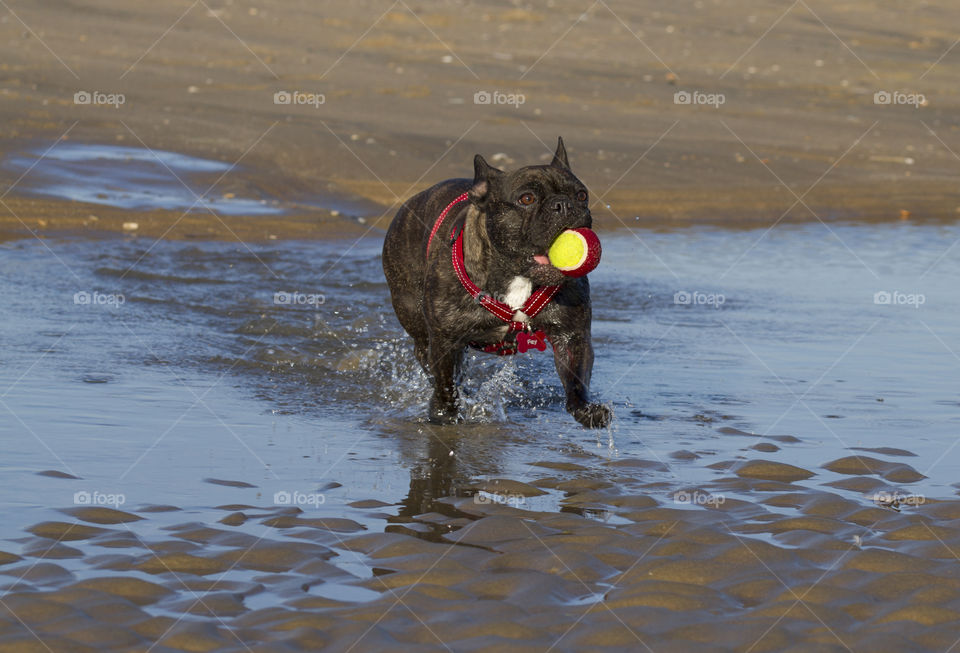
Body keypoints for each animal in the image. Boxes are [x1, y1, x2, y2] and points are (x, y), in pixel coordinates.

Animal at [380, 138, 608, 428]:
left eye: (581, 195)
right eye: (526, 199)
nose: (563, 205)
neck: (517, 276)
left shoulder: (572, 334)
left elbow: (575, 375)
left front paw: (586, 409)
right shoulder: (444, 340)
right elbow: (445, 383)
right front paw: (445, 414)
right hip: (418, 327)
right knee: (430, 362)